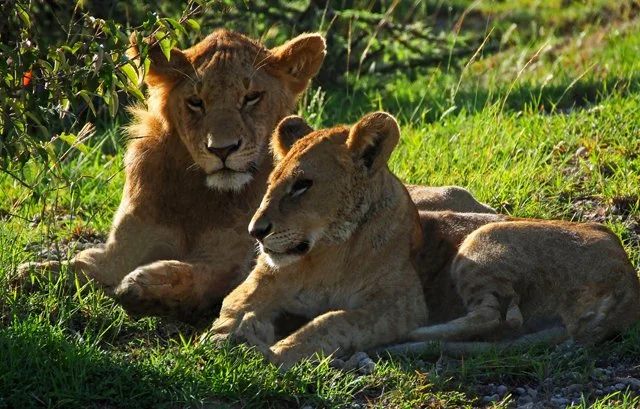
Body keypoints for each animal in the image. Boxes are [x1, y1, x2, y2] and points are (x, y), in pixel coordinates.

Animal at [208, 112, 428, 368]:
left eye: (302, 185)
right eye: (270, 184)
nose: (255, 231)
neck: (329, 250)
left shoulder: (403, 302)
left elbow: (334, 321)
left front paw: (277, 352)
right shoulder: (265, 275)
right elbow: (238, 303)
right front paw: (225, 336)